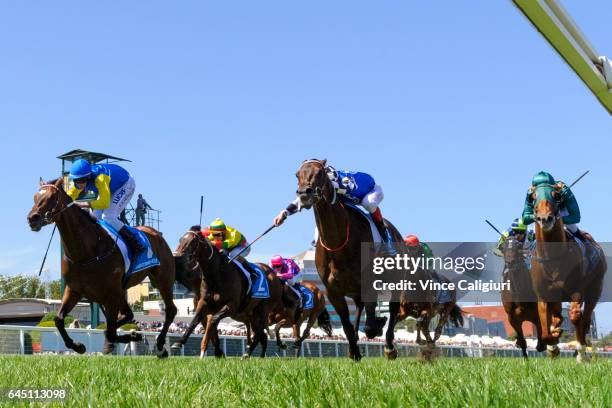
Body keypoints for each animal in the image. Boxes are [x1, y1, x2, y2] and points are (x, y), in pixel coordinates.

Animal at [28, 177, 177, 356]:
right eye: (35, 197)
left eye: (51, 197)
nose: (32, 218)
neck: (86, 251)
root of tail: (155, 233)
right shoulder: (74, 290)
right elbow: (58, 319)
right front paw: (78, 346)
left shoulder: (110, 294)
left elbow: (111, 331)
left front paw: (127, 338)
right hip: (122, 289)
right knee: (128, 315)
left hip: (162, 279)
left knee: (170, 310)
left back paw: (160, 345)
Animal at [171, 228, 284, 358]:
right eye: (180, 239)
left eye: (193, 241)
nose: (176, 256)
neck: (216, 275)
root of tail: (275, 276)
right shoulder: (203, 302)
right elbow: (195, 320)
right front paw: (179, 342)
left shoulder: (232, 306)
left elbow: (213, 320)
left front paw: (214, 351)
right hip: (253, 313)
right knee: (262, 335)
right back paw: (255, 355)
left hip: (264, 309)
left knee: (260, 332)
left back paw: (247, 353)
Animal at [294, 159, 404, 360]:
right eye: (297, 174)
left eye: (320, 173)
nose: (304, 193)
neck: (338, 243)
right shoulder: (333, 291)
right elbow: (346, 325)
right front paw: (354, 351)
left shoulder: (369, 283)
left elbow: (370, 326)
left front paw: (378, 326)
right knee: (359, 309)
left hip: (395, 279)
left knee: (393, 309)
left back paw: (389, 346)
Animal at [528, 182, 604, 360]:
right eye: (533, 198)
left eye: (556, 195)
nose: (545, 218)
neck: (553, 258)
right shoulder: (543, 294)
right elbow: (545, 329)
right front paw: (552, 346)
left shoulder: (577, 290)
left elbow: (576, 316)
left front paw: (580, 352)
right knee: (558, 318)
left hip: (595, 288)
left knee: (585, 319)